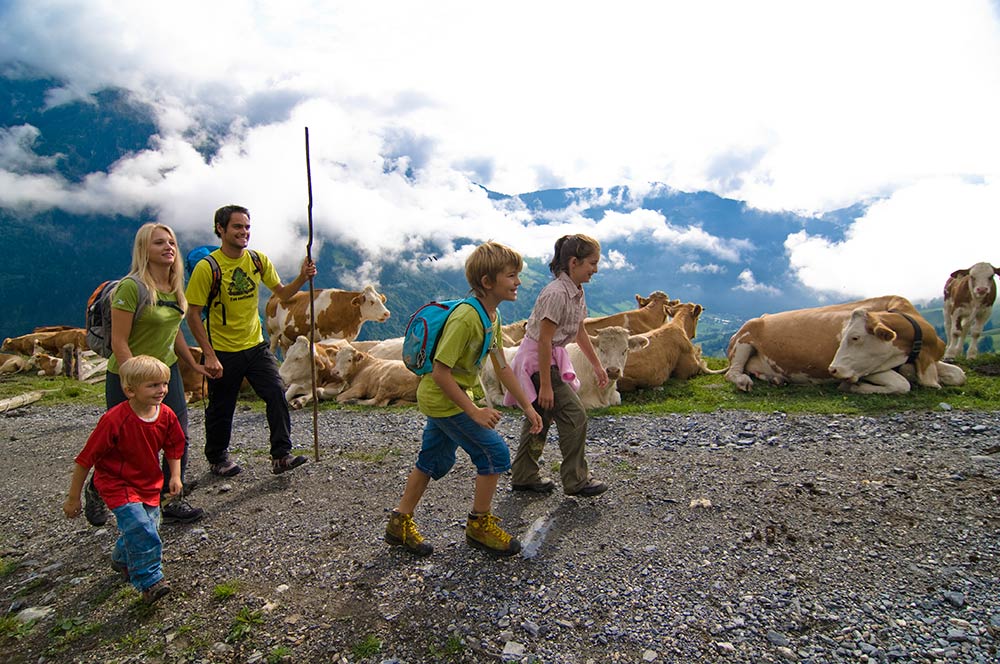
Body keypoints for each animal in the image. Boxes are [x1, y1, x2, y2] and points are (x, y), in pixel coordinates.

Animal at [724, 296, 964, 394]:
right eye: (845, 335)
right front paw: (851, 387)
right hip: (746, 335)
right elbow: (901, 384)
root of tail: (763, 316)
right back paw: (743, 380)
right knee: (732, 372)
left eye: (855, 337)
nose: (832, 369)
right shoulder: (868, 368)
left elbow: (959, 374)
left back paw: (775, 378)